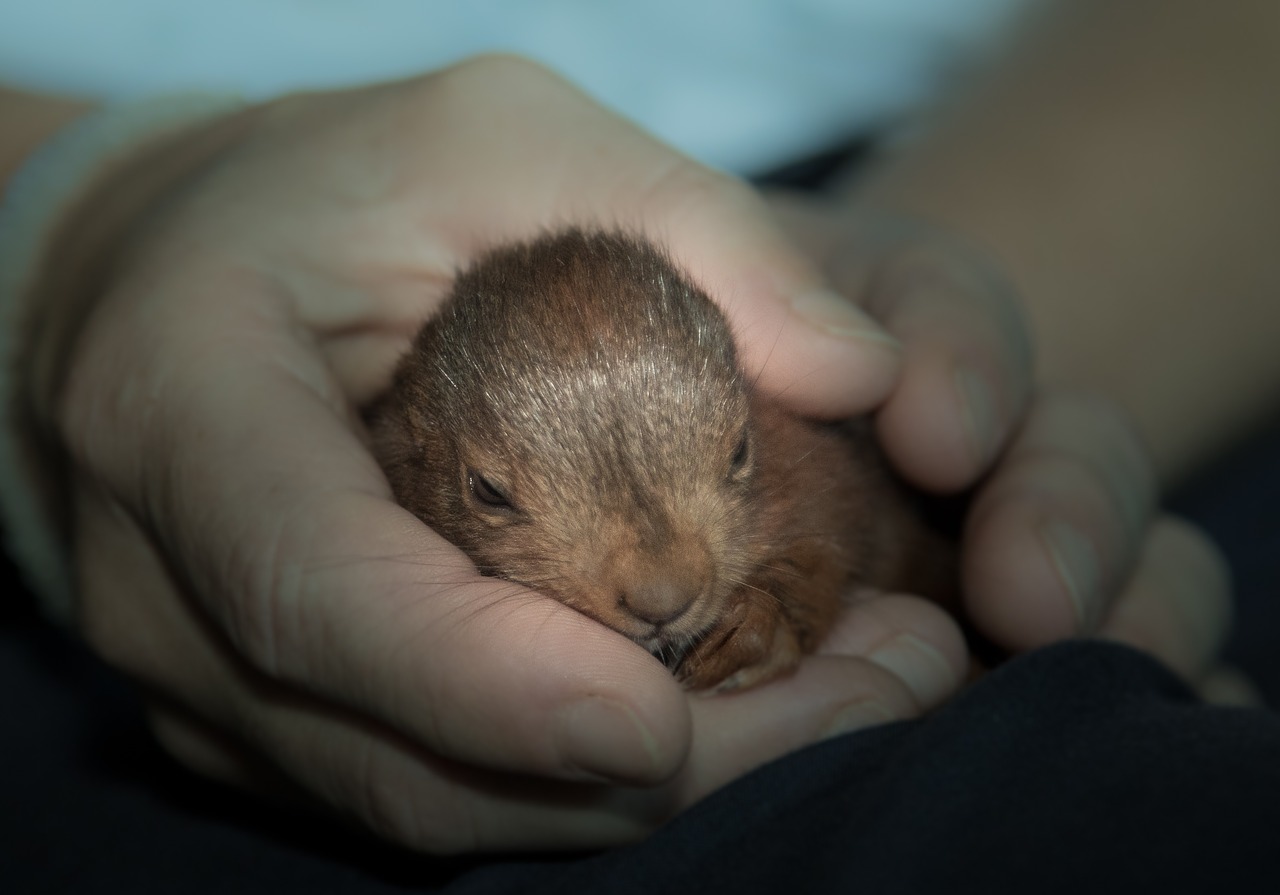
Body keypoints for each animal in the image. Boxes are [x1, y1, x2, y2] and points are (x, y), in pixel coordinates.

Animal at [366, 227, 957, 691]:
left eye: (742, 448)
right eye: (487, 490)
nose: (662, 603)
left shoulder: (830, 473)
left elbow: (833, 546)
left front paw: (757, 626)